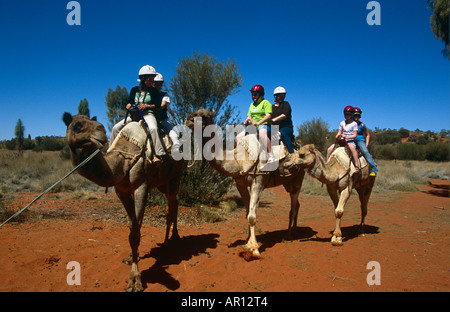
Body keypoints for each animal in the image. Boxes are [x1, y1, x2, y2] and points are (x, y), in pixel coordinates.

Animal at [62, 113, 184, 292]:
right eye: (77, 125)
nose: (101, 130)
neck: (123, 159)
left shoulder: (141, 186)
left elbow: (135, 234)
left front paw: (135, 279)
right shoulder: (121, 190)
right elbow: (132, 225)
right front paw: (132, 256)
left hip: (175, 177)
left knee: (172, 203)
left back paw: (172, 240)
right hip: (163, 182)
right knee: (174, 202)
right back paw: (170, 239)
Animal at [184, 109, 306, 258]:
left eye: (205, 116)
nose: (188, 120)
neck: (239, 160)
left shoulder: (258, 182)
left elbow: (252, 216)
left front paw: (254, 249)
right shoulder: (240, 184)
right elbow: (247, 212)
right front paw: (247, 241)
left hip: (298, 178)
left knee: (293, 205)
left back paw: (288, 236)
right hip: (287, 182)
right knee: (297, 204)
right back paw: (294, 231)